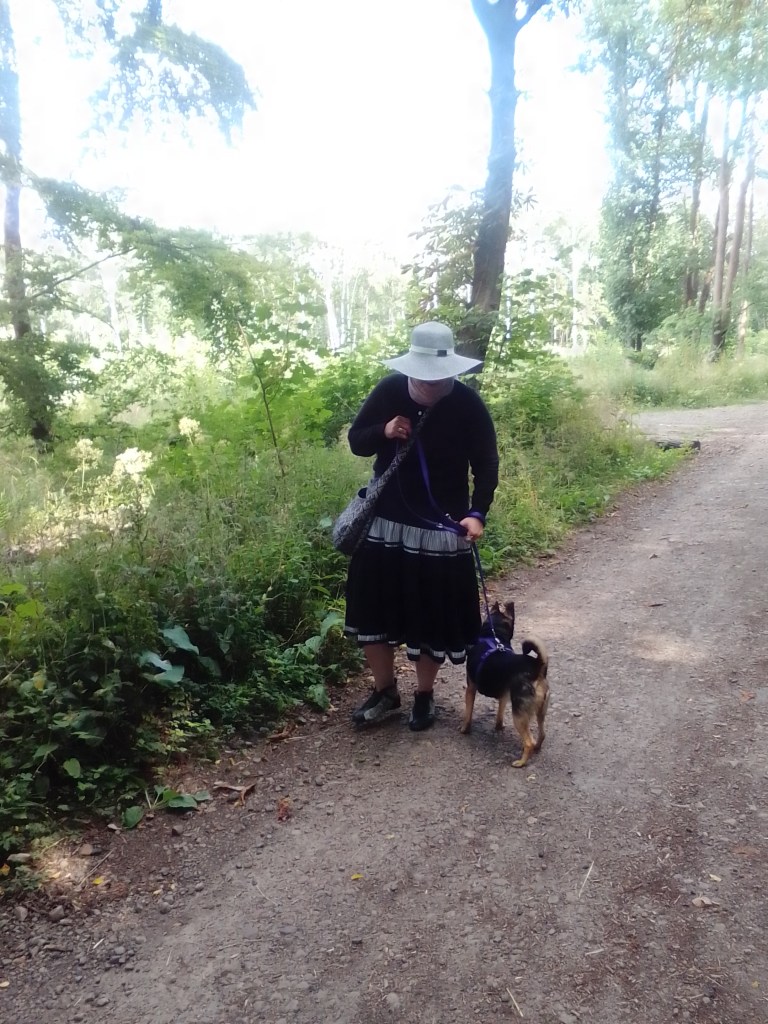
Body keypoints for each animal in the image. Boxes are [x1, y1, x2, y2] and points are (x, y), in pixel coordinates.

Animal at [461, 601, 549, 768]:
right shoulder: (504, 695)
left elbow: (468, 715)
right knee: (541, 734)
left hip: (519, 715)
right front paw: (498, 727)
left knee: (529, 741)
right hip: (540, 712)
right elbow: (499, 715)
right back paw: (537, 748)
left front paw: (464, 730)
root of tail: (536, 667)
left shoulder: (470, 689)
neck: (493, 636)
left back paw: (521, 762)